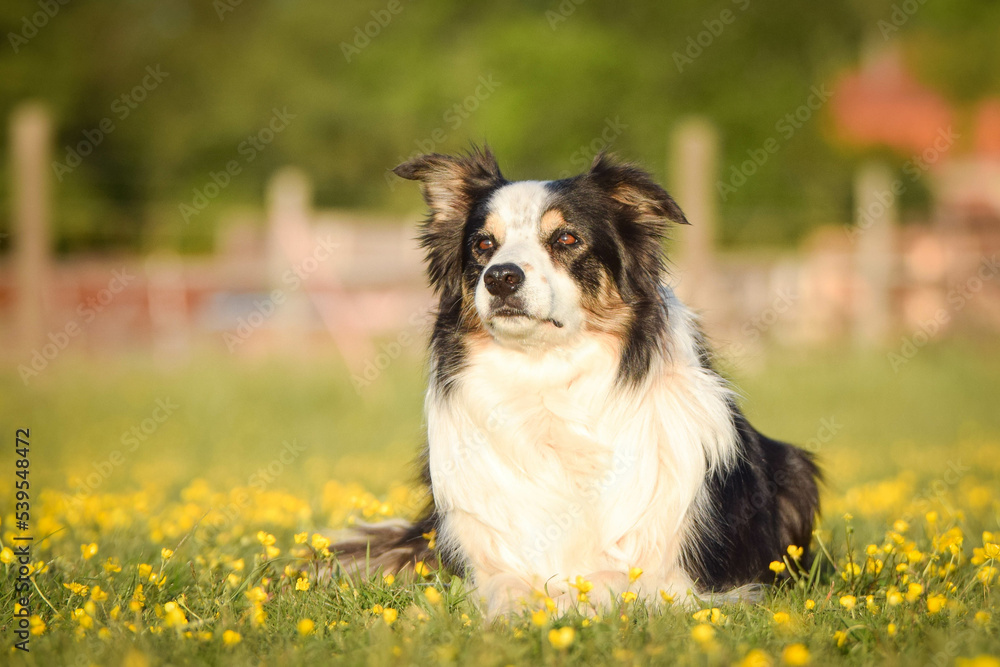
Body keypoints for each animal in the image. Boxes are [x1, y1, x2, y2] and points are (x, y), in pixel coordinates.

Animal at [336, 146, 820, 616]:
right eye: (483, 244)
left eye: (566, 238)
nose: (500, 277)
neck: (547, 379)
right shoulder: (486, 552)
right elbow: (507, 587)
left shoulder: (677, 578)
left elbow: (609, 583)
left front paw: (566, 605)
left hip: (796, 473)